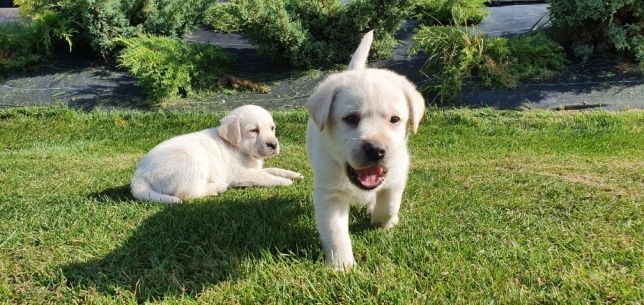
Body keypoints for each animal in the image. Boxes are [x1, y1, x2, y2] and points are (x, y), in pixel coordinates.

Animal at [132, 103, 304, 203]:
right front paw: (284, 181)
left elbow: (272, 170)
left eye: (272, 128)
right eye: (254, 130)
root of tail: (140, 172)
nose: (273, 144)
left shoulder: (252, 168)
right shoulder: (239, 174)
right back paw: (217, 187)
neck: (238, 148)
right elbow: (263, 176)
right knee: (187, 193)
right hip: (193, 161)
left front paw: (293, 174)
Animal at [306, 30, 426, 268]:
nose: (376, 150)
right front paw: (341, 265)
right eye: (351, 119)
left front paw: (383, 221)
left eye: (395, 119)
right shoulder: (329, 194)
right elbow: (335, 232)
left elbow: (389, 205)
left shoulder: (397, 174)